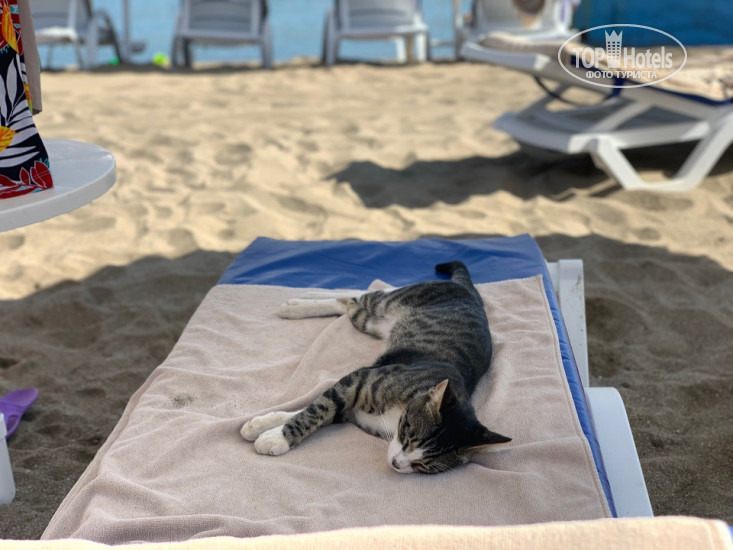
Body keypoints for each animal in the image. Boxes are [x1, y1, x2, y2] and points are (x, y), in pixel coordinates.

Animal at [240, 261, 510, 474]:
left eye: (424, 466)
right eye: (410, 436)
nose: (397, 464)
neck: (397, 416)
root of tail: (470, 292)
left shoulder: (351, 410)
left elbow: (313, 408)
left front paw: (265, 428)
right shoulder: (357, 380)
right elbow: (317, 409)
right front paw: (275, 436)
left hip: (368, 321)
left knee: (349, 304)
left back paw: (303, 301)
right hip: (390, 302)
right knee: (368, 293)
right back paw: (299, 302)